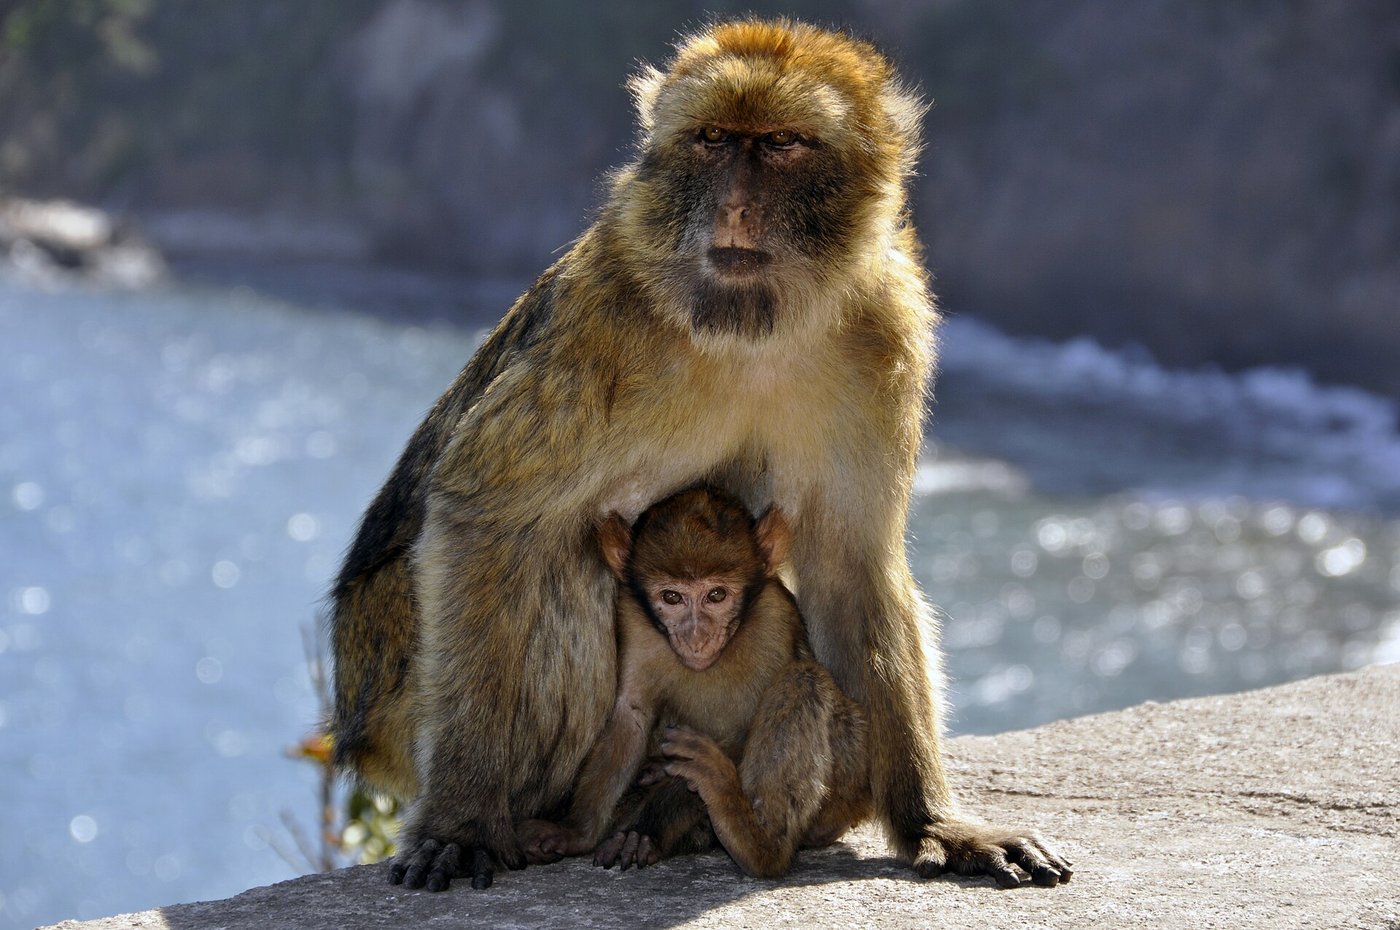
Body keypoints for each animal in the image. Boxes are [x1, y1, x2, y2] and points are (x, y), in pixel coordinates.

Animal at [516, 486, 872, 878]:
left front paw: (646, 827)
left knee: (803, 678)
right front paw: (576, 833)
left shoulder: (774, 619)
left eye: (716, 595)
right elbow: (630, 716)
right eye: (672, 597)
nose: (697, 637)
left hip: (847, 787)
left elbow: (745, 729)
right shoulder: (632, 618)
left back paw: (755, 842)